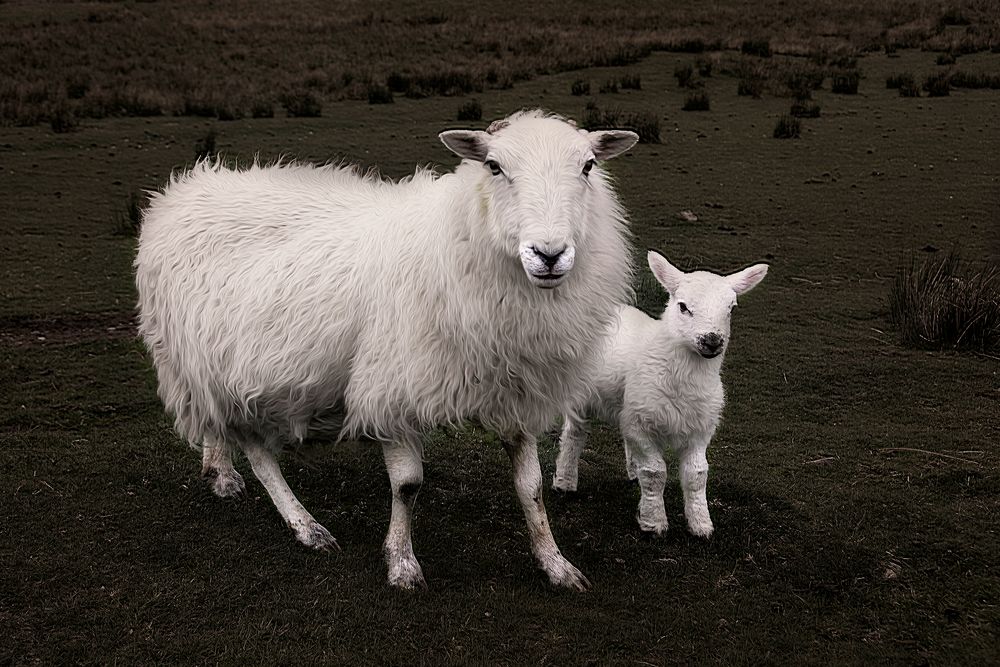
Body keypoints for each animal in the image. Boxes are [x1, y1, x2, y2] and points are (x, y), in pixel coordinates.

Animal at [133, 109, 636, 588]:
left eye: (588, 166)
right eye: (494, 166)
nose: (549, 255)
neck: (458, 237)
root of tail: (188, 185)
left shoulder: (515, 390)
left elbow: (531, 487)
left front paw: (555, 564)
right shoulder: (391, 388)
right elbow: (408, 486)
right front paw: (401, 563)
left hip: (212, 359)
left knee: (216, 422)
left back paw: (219, 470)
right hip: (199, 361)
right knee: (257, 452)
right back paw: (304, 525)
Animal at [552, 249, 768, 536]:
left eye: (731, 309)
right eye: (683, 306)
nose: (712, 341)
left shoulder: (699, 430)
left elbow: (697, 475)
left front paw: (701, 524)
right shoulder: (641, 427)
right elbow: (655, 473)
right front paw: (654, 522)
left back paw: (632, 471)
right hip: (581, 396)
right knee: (574, 434)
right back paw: (565, 481)